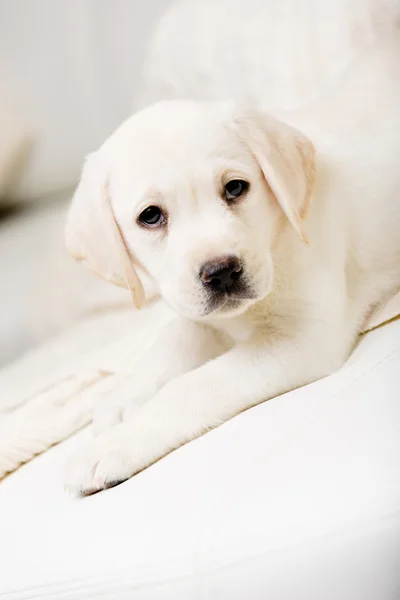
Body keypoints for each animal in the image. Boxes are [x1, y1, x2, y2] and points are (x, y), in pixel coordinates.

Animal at [64, 32, 400, 494]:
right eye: (150, 216)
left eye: (236, 188)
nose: (222, 273)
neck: (277, 240)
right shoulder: (198, 313)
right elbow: (171, 341)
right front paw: (123, 400)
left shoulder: (301, 337)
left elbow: (196, 384)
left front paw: (115, 445)